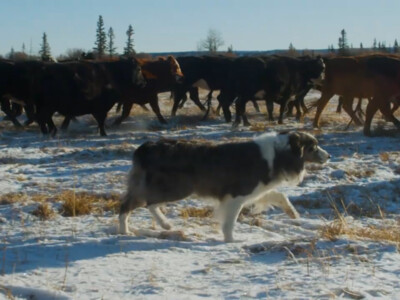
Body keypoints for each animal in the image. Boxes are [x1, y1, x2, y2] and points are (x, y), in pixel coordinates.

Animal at [119, 131, 332, 241]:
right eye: (313, 147)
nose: (329, 156)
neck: (279, 154)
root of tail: (146, 147)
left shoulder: (253, 190)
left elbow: (279, 195)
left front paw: (293, 214)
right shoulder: (237, 195)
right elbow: (230, 222)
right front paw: (231, 242)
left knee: (142, 203)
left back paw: (158, 225)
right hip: (178, 187)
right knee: (140, 203)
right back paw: (131, 229)